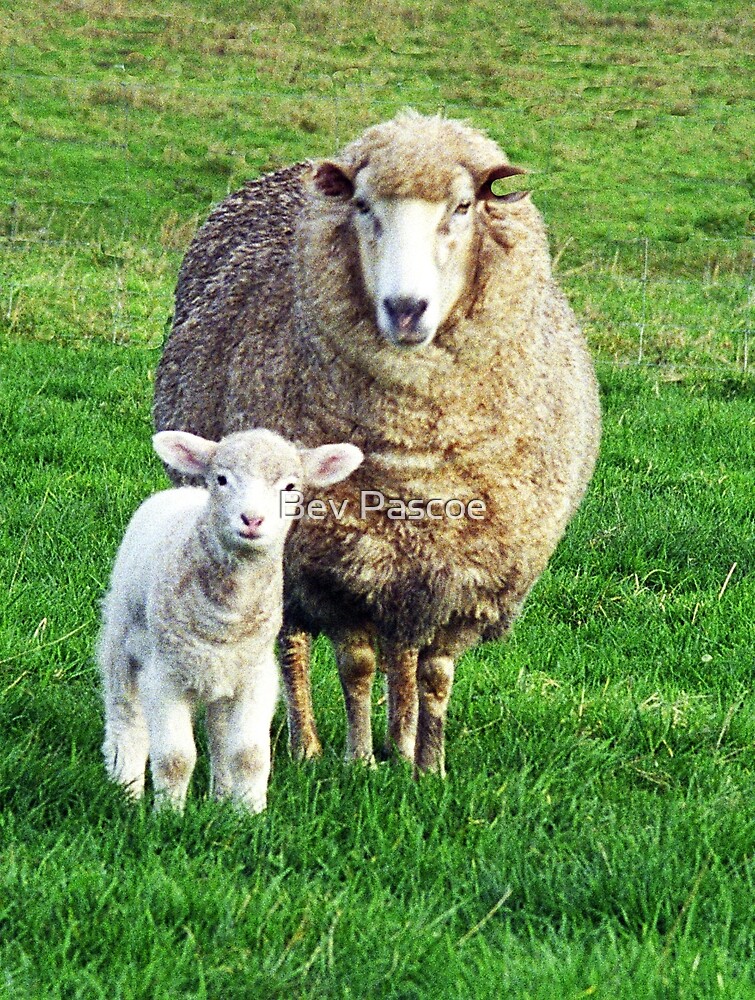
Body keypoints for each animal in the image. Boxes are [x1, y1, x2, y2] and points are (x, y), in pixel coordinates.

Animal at [97, 427, 363, 811]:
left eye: (290, 486)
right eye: (222, 479)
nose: (252, 520)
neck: (229, 614)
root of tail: (183, 492)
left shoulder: (255, 679)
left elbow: (249, 755)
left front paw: (249, 813)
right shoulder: (164, 677)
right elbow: (176, 758)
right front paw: (168, 814)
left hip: (222, 677)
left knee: (220, 736)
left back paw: (221, 800)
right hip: (122, 644)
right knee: (126, 720)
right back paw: (126, 788)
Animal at [153, 111, 601, 776]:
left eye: (463, 206)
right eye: (364, 206)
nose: (406, 308)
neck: (414, 462)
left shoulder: (461, 573)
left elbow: (434, 673)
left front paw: (428, 767)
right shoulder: (335, 566)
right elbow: (357, 665)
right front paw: (359, 760)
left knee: (403, 656)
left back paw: (404, 741)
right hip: (283, 550)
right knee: (293, 644)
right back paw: (308, 745)